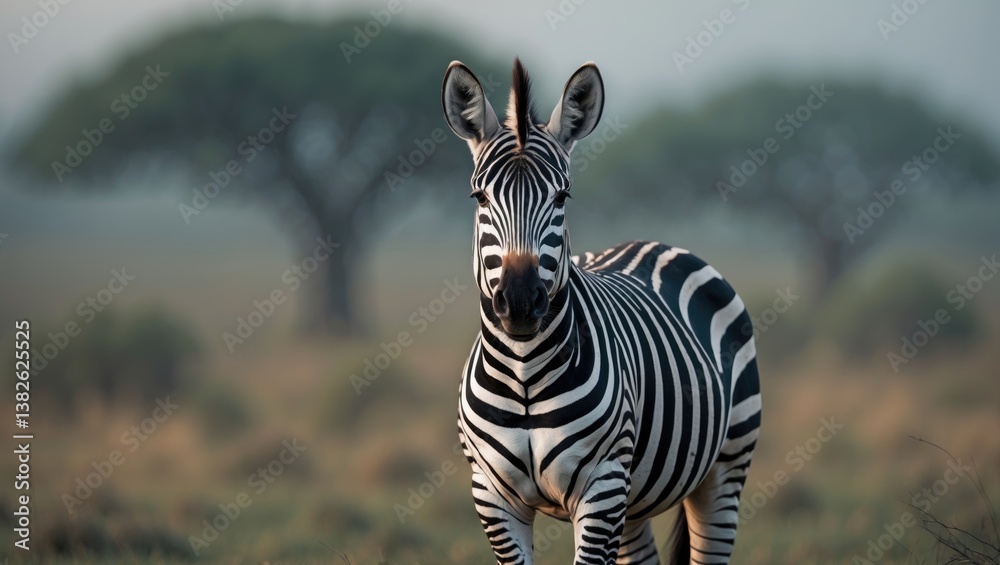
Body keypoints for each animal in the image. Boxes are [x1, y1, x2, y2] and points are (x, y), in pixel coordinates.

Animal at [441, 58, 762, 564]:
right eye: (480, 198)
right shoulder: (492, 496)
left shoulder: (603, 486)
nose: (520, 301)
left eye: (561, 198)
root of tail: (649, 243)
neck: (524, 373)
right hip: (635, 499)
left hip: (725, 469)